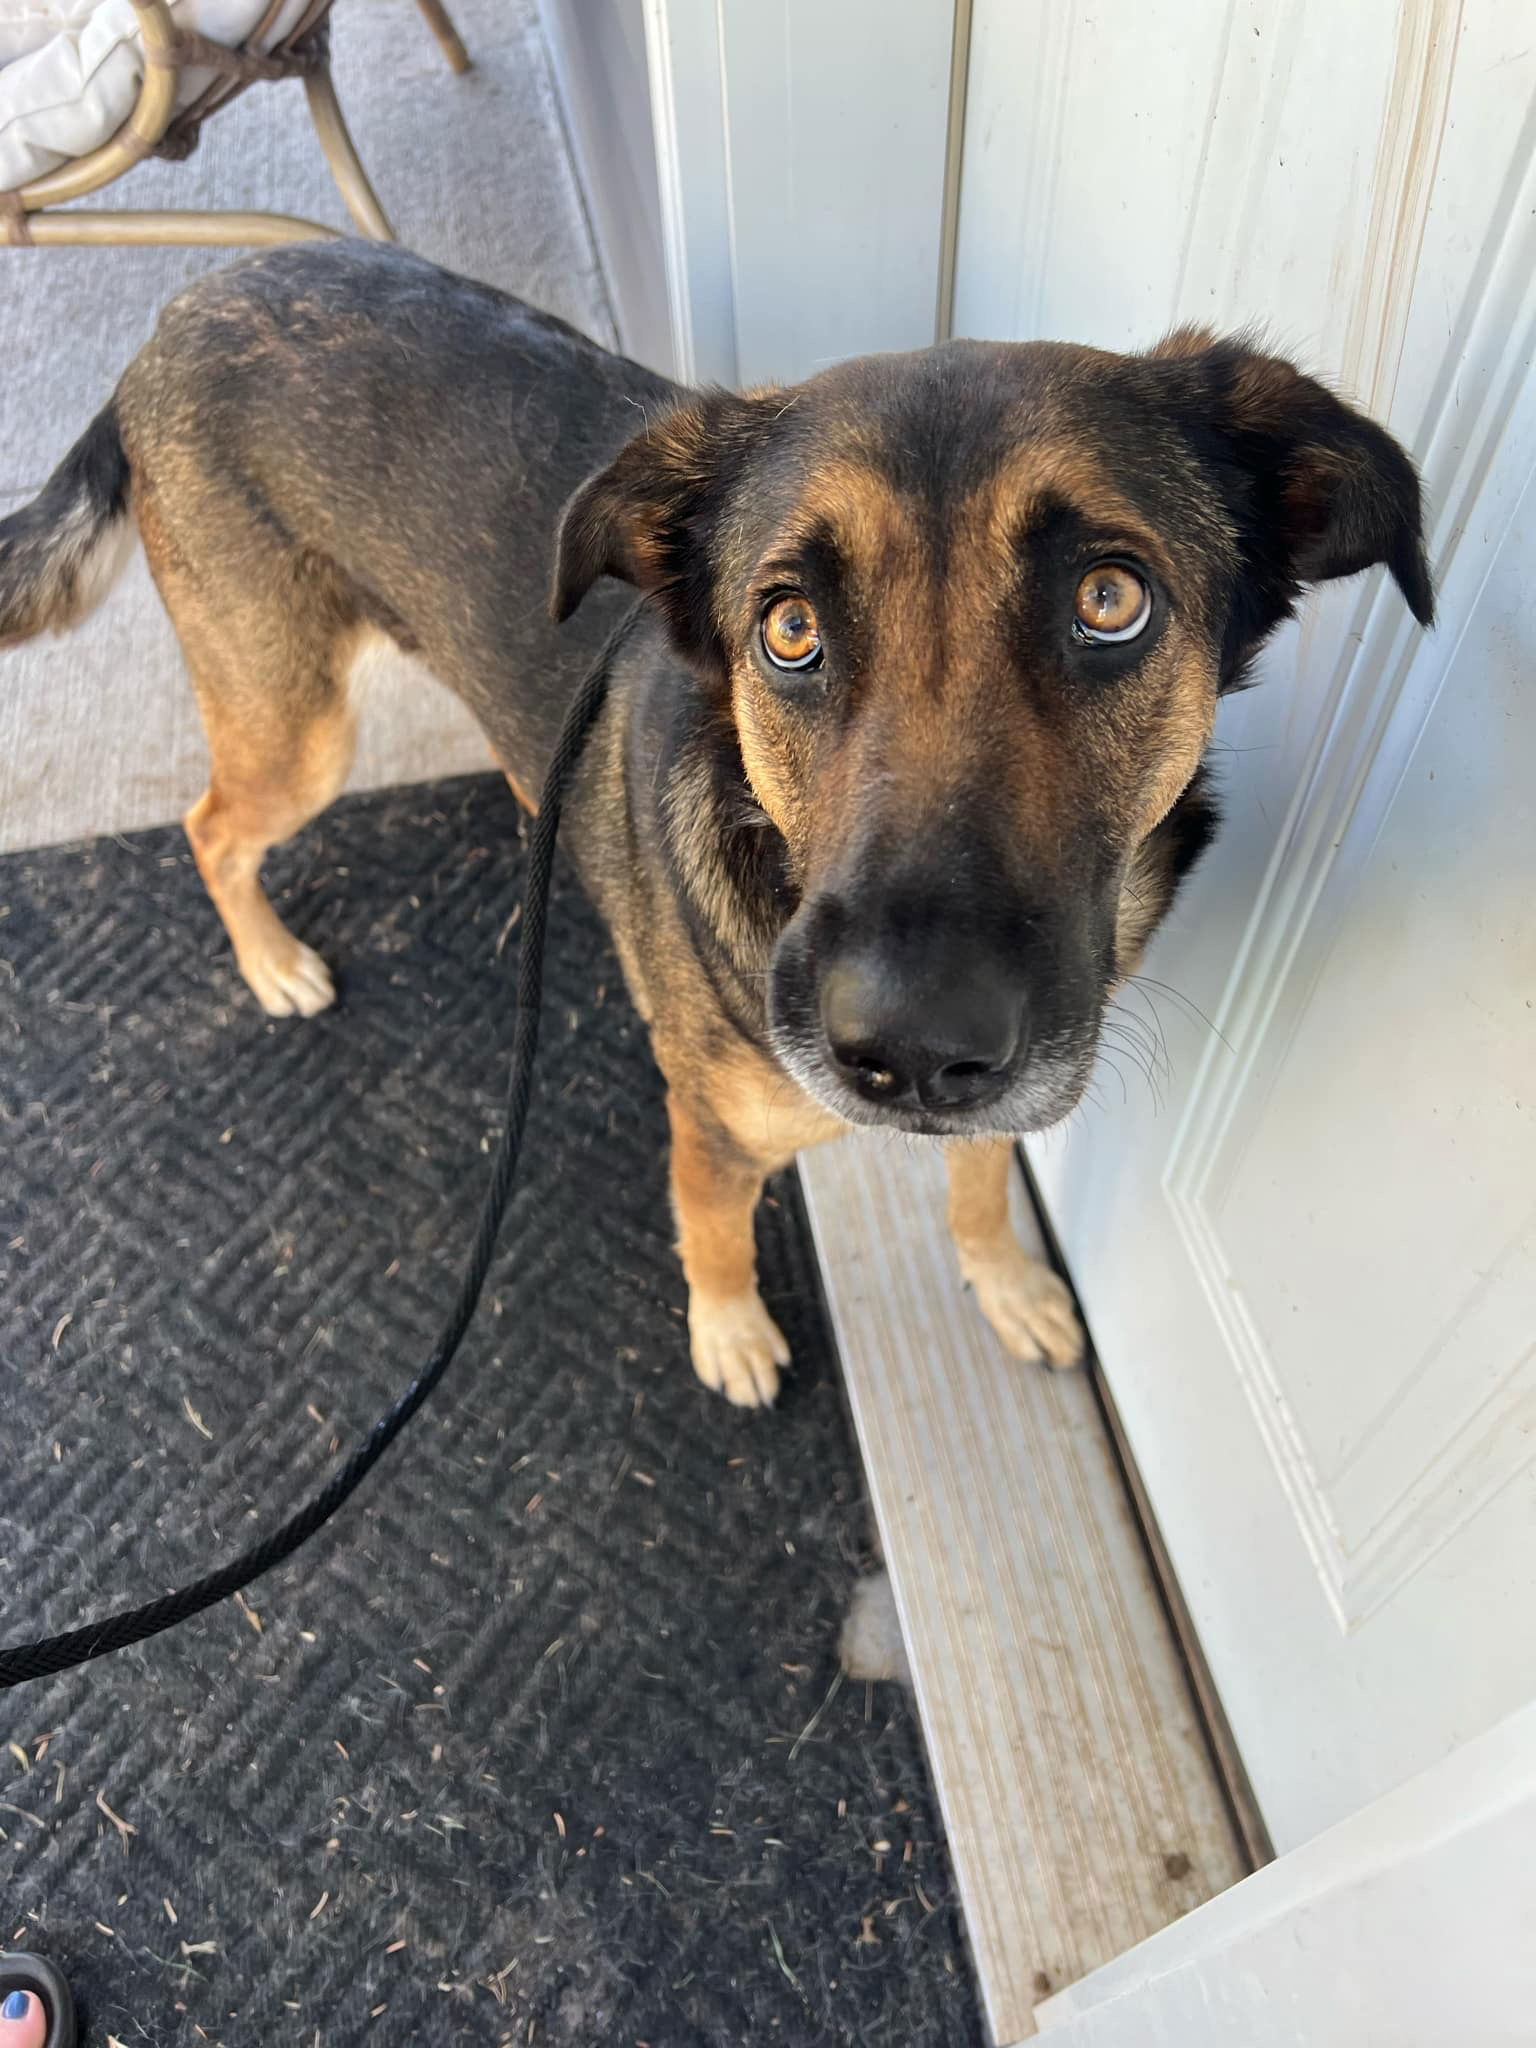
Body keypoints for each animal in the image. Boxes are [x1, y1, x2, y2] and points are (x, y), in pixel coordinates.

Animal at [0, 243, 1441, 1409]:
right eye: (788, 628)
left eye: (1109, 600)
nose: (912, 1049)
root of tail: (172, 317)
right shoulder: (711, 1130)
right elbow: (713, 1231)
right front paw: (732, 1331)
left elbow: (982, 1182)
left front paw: (1006, 1278)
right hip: (294, 722)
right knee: (206, 825)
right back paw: (270, 960)